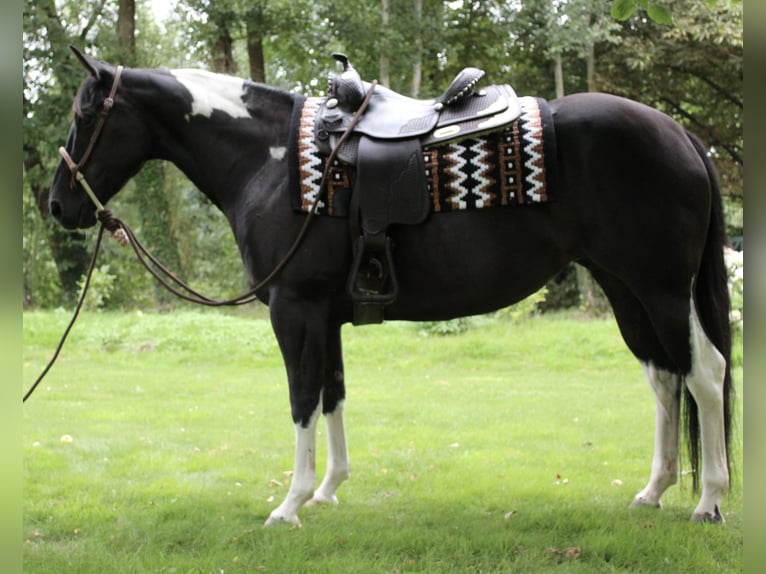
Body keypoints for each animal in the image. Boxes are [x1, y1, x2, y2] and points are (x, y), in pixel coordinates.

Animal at [48, 46, 733, 526]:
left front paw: (290, 504)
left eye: (85, 113)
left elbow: (302, 399)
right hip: (624, 288)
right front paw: (328, 491)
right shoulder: (324, 316)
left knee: (705, 374)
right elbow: (333, 394)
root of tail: (682, 134)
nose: (57, 205)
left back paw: (709, 501)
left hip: (662, 289)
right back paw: (654, 491)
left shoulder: (295, 310)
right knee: (664, 378)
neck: (273, 161)